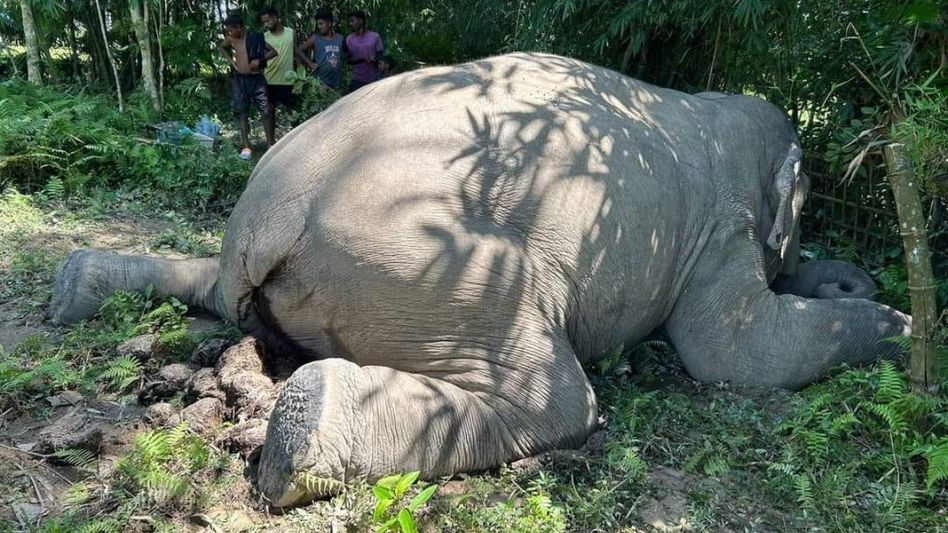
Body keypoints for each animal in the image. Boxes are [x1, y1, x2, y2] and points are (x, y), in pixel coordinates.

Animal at [50, 53, 911, 508]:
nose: (860, 281)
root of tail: (262, 223)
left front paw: (854, 285)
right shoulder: (719, 226)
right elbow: (731, 354)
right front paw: (902, 327)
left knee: (210, 283)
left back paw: (76, 283)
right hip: (429, 264)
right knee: (557, 399)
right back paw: (301, 430)